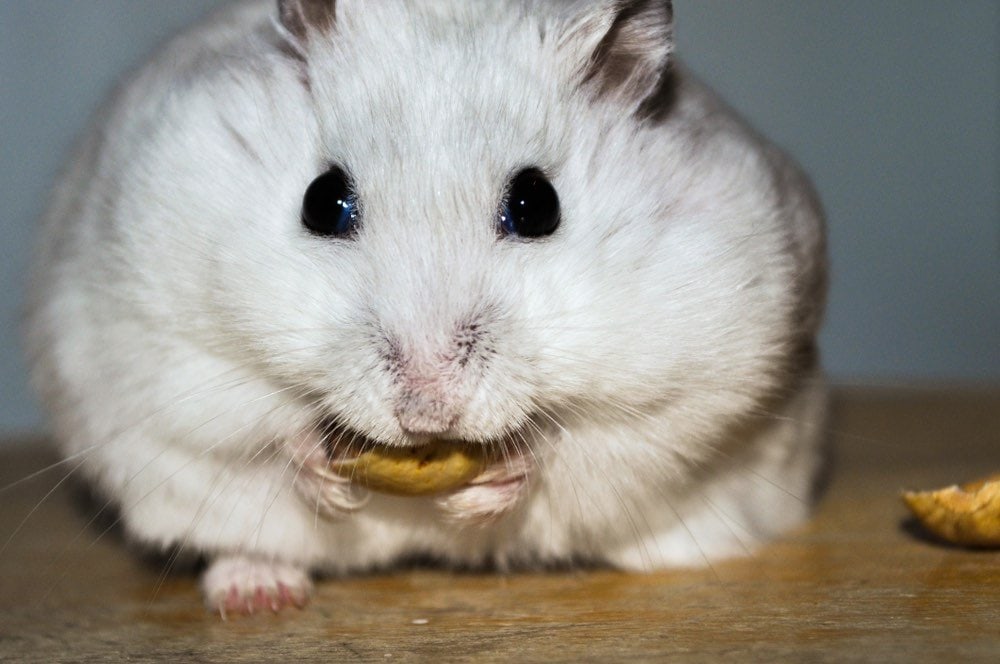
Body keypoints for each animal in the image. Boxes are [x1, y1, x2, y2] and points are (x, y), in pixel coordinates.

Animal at [25, 0, 827, 616]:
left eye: (537, 205)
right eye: (323, 201)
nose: (426, 406)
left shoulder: (693, 381)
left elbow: (576, 442)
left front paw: (482, 497)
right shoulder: (169, 348)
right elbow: (264, 428)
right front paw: (329, 485)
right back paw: (258, 595)